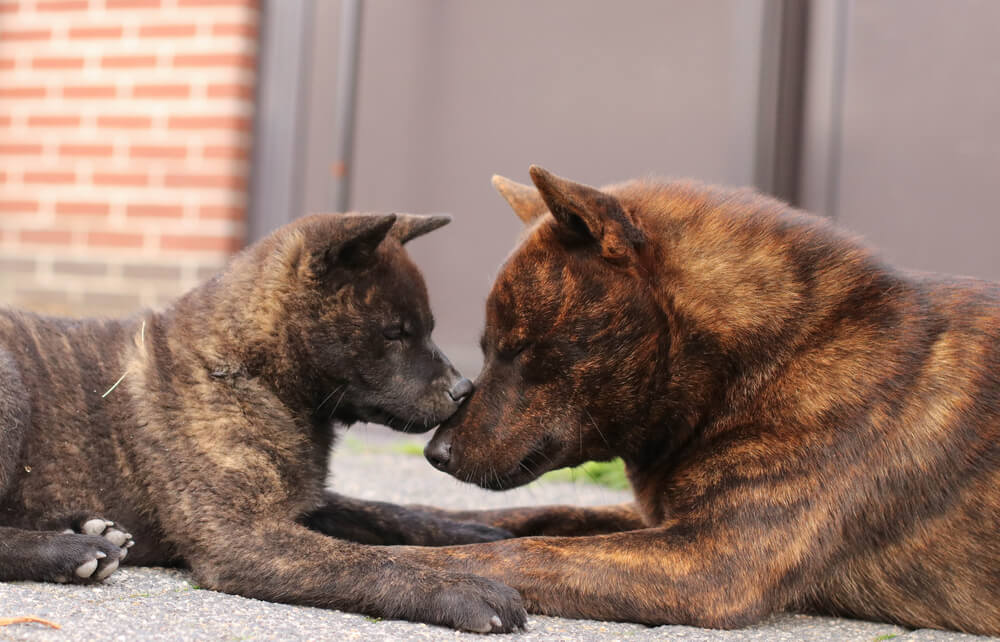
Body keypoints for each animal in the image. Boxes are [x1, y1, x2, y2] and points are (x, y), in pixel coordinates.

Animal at [0, 212, 528, 632]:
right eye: (395, 333)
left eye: (429, 328)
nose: (463, 390)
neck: (244, 366)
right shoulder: (243, 532)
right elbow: (370, 560)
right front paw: (465, 587)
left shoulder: (301, 503)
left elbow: (387, 512)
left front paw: (479, 534)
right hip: (11, 390)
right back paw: (73, 552)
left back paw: (91, 530)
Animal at [394, 166, 1000, 636]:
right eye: (486, 349)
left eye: (519, 348)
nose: (435, 454)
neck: (782, 350)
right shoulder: (662, 521)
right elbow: (525, 516)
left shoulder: (708, 562)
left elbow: (517, 550)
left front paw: (416, 572)